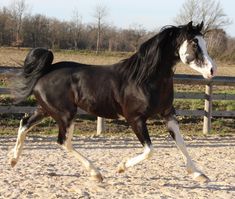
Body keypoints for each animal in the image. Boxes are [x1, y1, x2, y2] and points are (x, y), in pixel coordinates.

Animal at [9, 21, 217, 182]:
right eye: (194, 44)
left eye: (205, 43)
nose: (212, 70)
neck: (144, 79)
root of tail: (45, 72)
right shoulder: (135, 119)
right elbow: (149, 150)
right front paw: (121, 167)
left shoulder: (168, 114)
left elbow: (181, 143)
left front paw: (199, 174)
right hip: (65, 115)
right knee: (63, 142)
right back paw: (96, 173)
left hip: (46, 109)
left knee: (24, 123)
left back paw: (13, 160)